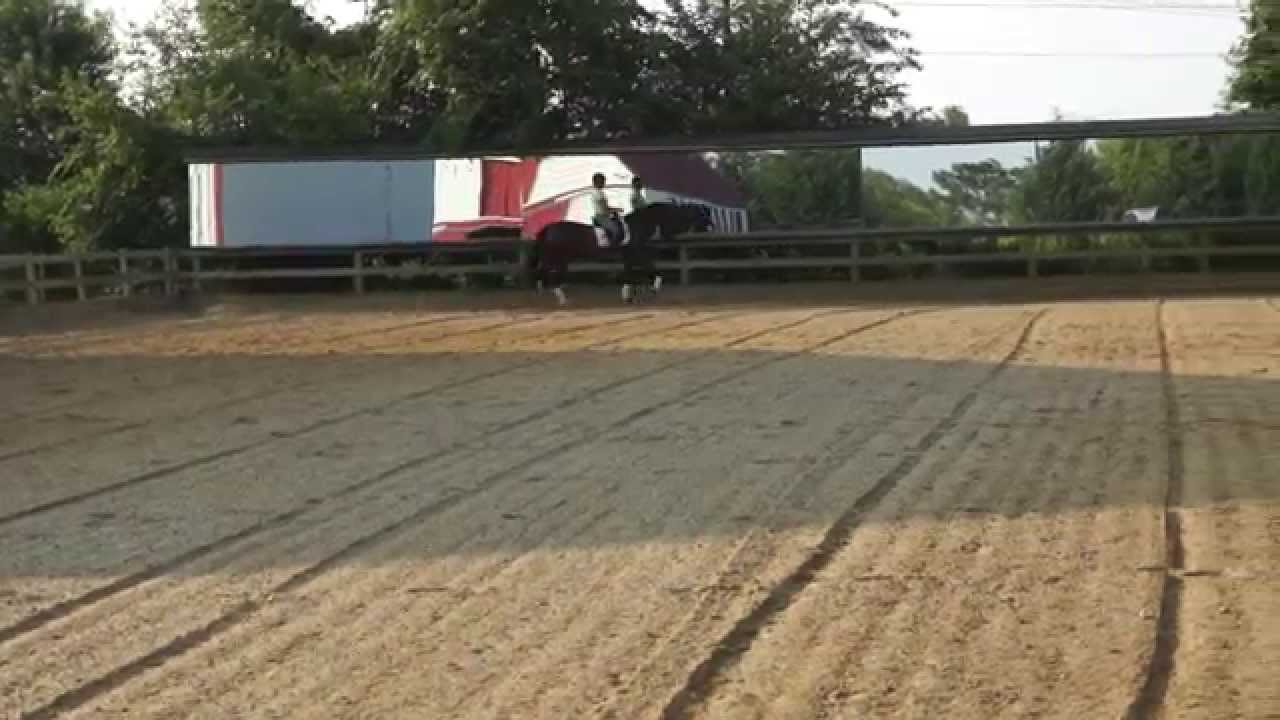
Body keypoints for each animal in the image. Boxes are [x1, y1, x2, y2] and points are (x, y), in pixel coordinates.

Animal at [525, 203, 714, 305]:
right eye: (673, 217)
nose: (671, 236)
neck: (639, 225)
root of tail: (548, 228)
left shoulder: (630, 256)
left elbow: (629, 273)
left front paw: (628, 296)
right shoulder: (637, 254)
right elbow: (650, 269)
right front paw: (654, 288)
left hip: (561, 259)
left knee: (545, 274)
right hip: (557, 258)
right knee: (545, 274)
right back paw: (560, 299)